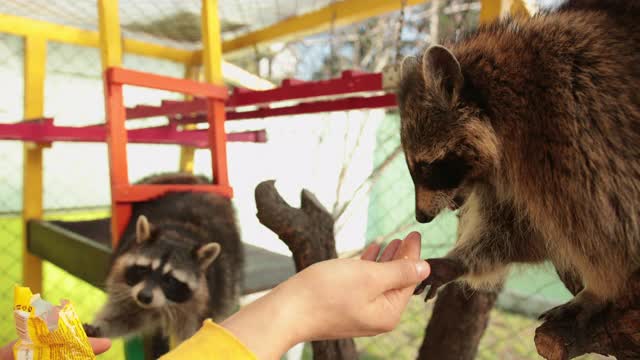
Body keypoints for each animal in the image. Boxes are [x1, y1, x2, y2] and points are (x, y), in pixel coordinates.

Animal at [87, 173, 242, 344]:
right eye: (144, 269)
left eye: (170, 280)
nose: (144, 297)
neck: (178, 235)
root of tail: (193, 179)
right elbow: (124, 314)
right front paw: (100, 327)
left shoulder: (206, 300)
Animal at [400, 0, 640, 324]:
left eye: (426, 166)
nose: (421, 217)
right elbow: (520, 231)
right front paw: (457, 261)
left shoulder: (580, 126)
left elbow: (613, 228)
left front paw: (601, 290)